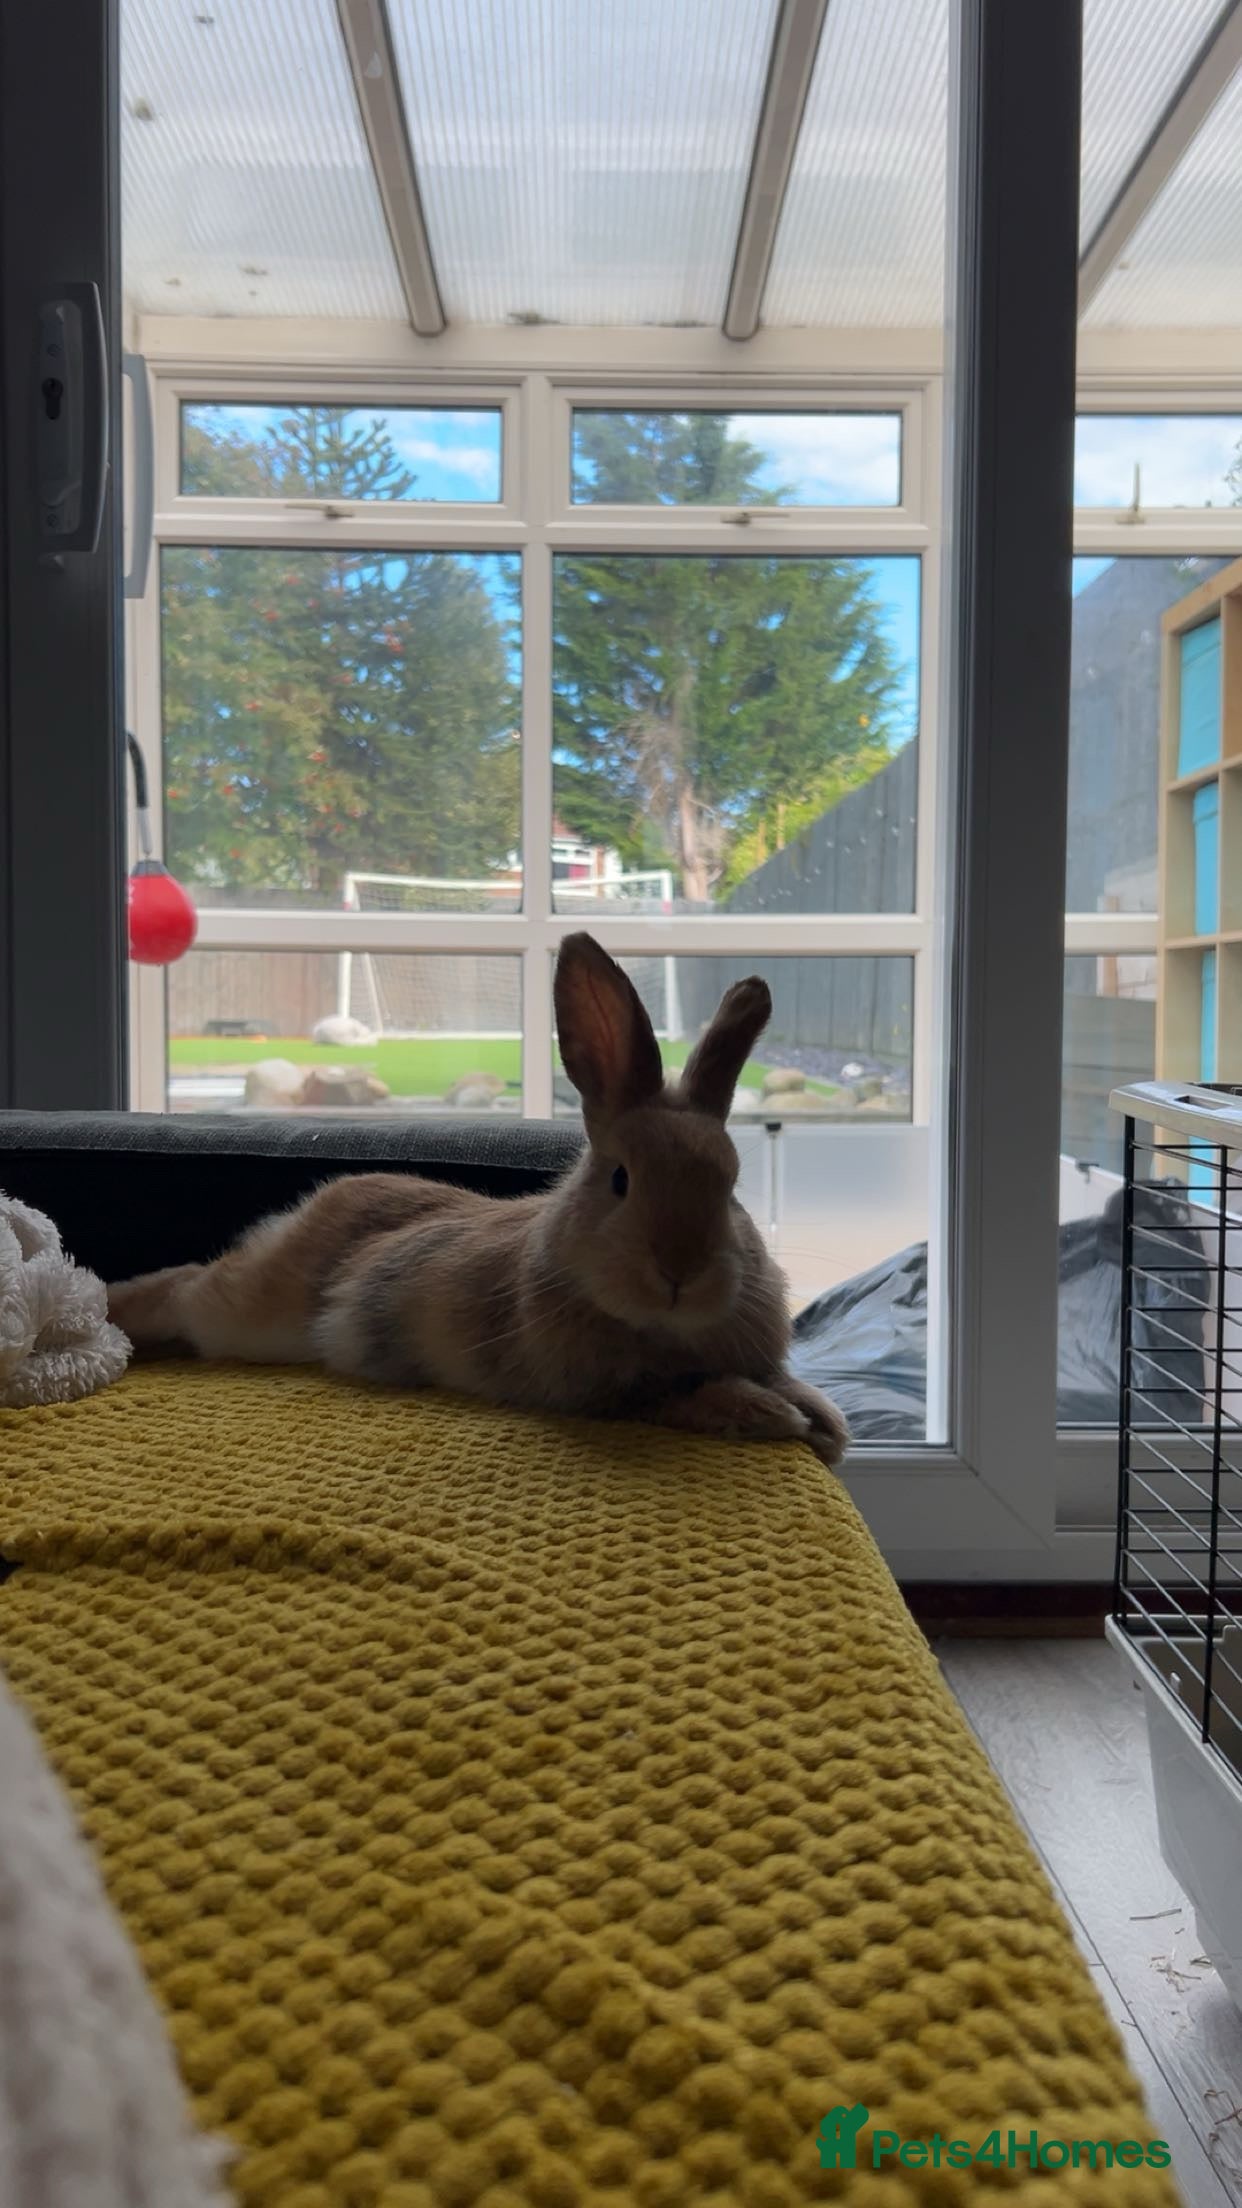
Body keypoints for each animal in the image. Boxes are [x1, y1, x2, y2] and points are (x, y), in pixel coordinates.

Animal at [108, 935, 849, 1468]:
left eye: (731, 1185)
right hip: (248, 1311)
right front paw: (774, 1415)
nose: (680, 1273)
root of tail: (315, 1208)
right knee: (185, 1287)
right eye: (620, 1179)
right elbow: (685, 1395)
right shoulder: (607, 1390)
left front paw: (826, 1421)